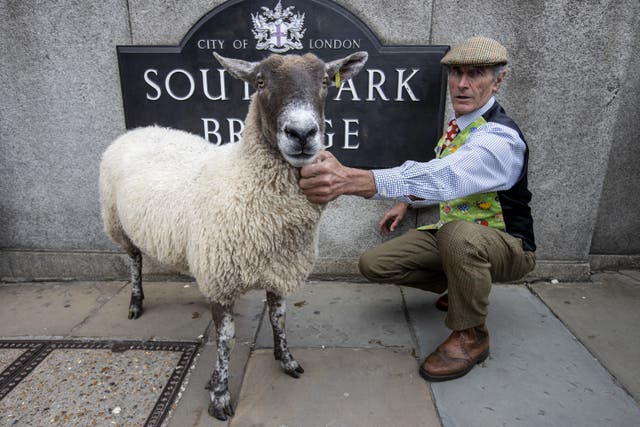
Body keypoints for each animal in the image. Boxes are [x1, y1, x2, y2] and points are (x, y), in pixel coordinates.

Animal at [100, 51, 370, 422]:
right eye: (260, 82)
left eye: (326, 82)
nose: (302, 133)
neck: (245, 178)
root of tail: (140, 129)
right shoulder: (221, 276)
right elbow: (225, 339)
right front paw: (220, 394)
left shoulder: (278, 268)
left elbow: (278, 318)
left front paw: (286, 359)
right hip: (116, 221)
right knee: (135, 260)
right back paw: (135, 302)